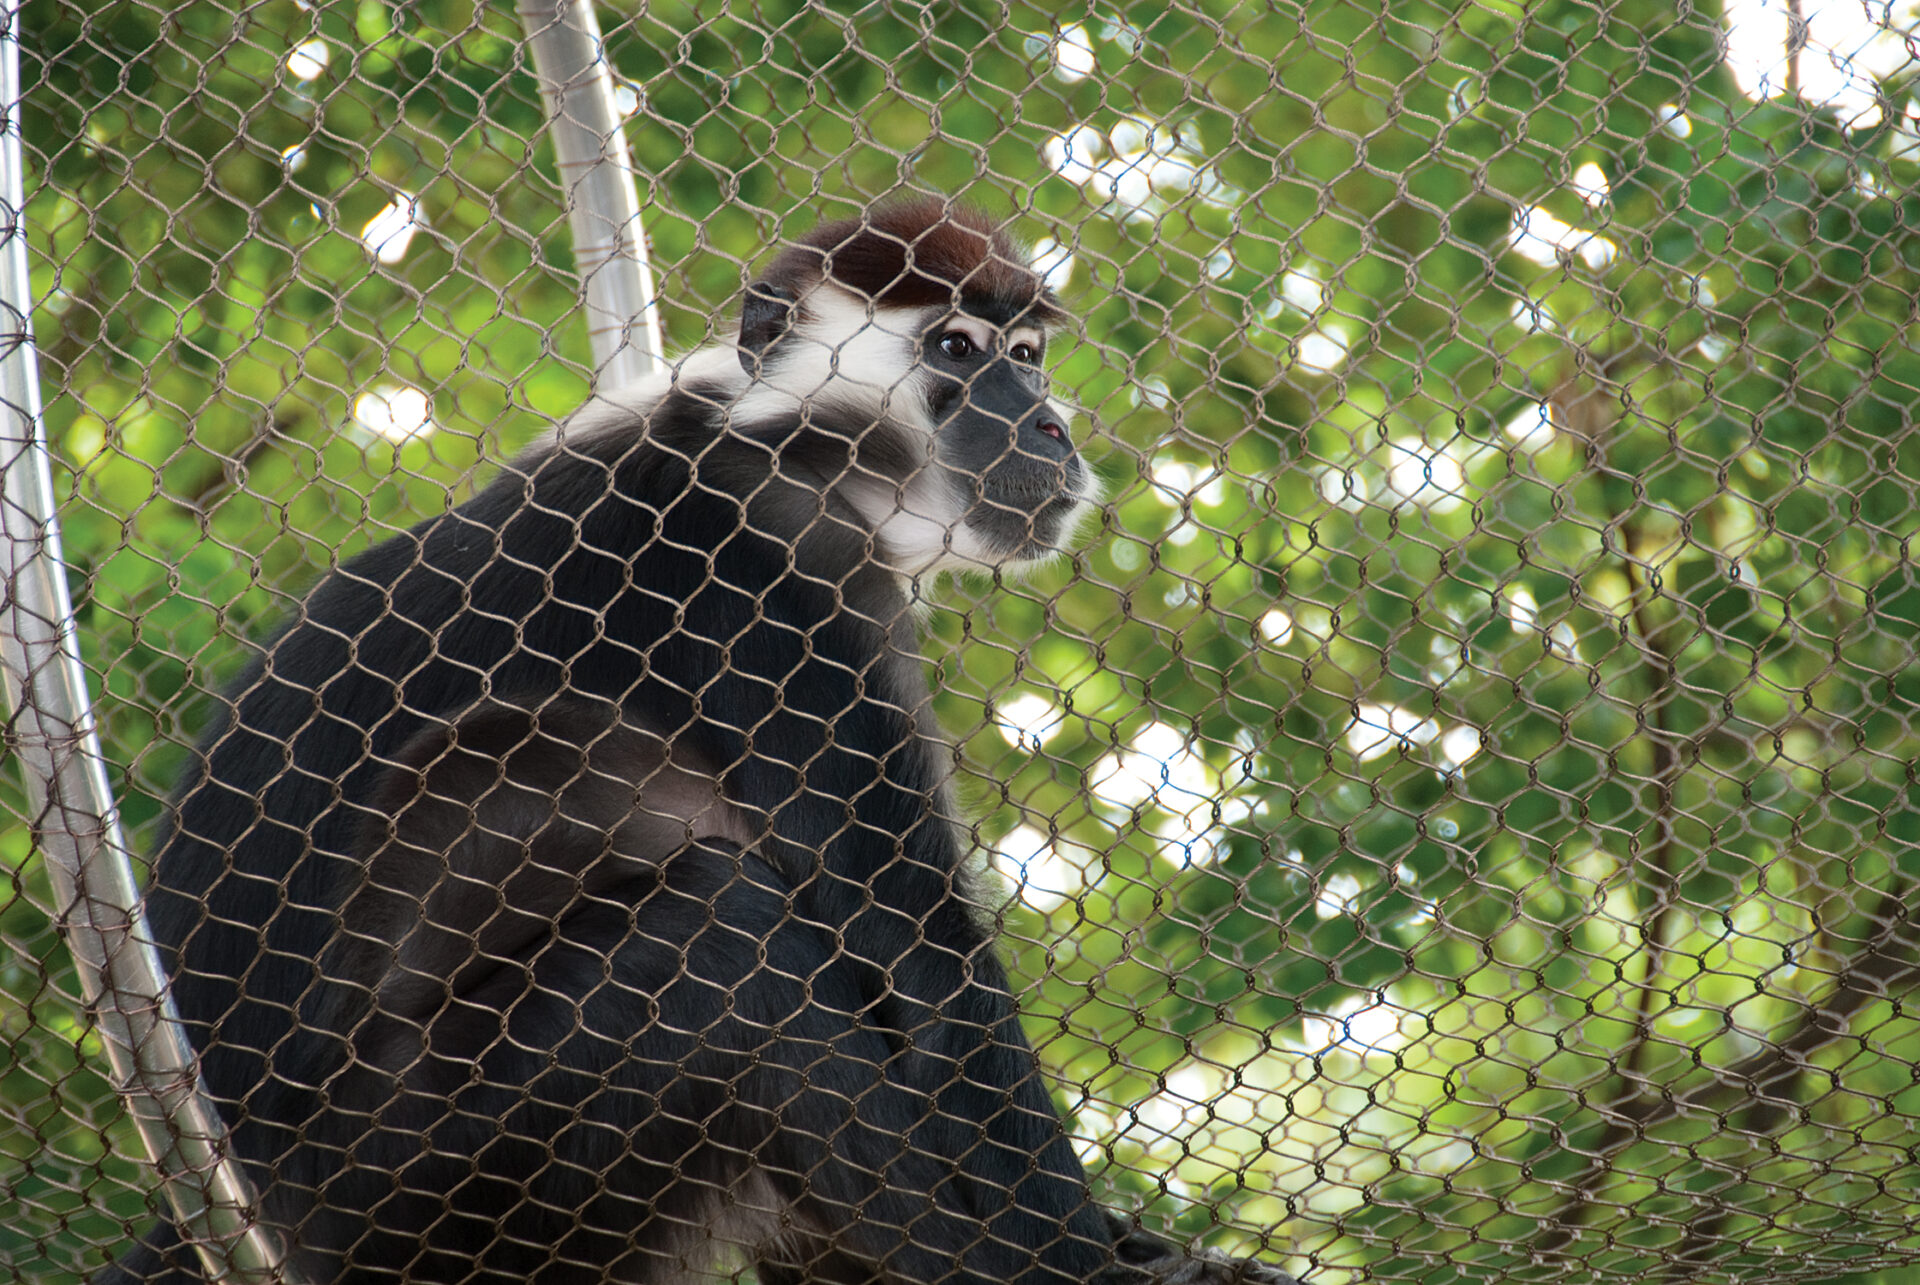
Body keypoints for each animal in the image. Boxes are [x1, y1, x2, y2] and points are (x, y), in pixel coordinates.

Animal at [108, 200, 1305, 1283]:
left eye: (1026, 356)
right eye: (956, 351)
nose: (1048, 423)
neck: (802, 451)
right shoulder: (764, 572)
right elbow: (921, 954)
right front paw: (1084, 1257)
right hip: (410, 1171)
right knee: (725, 926)